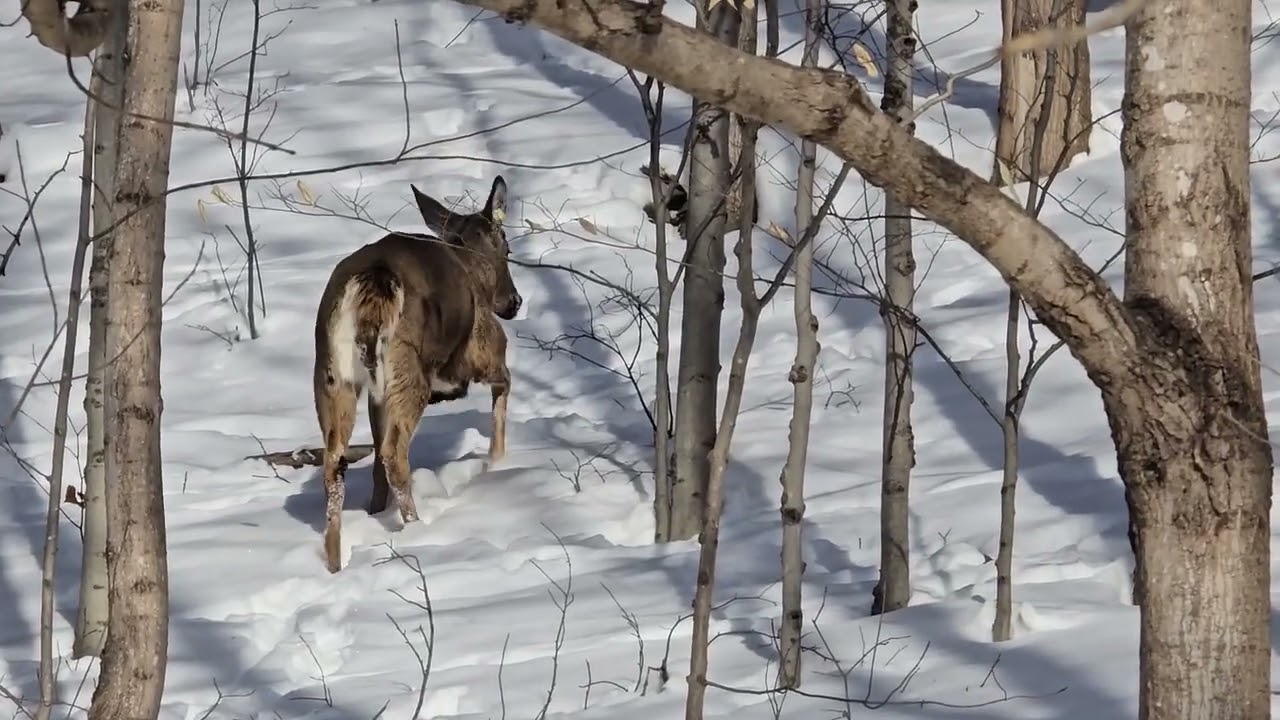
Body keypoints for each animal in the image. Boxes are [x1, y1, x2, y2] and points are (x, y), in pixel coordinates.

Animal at [312, 175, 521, 573]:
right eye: (508, 248)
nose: (514, 302)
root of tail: (373, 281)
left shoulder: (377, 394)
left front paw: (376, 511)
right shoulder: (481, 352)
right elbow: (503, 388)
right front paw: (497, 462)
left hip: (333, 374)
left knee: (336, 463)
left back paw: (335, 563)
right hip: (408, 370)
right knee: (394, 454)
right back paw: (417, 528)